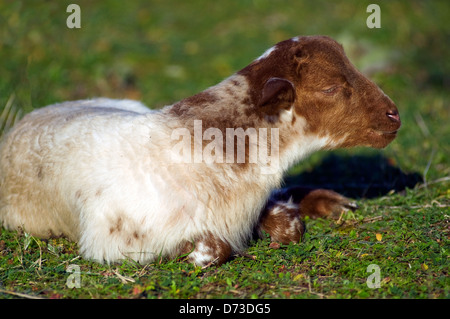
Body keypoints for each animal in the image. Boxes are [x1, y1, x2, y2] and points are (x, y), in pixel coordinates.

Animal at [0, 35, 400, 268]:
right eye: (330, 88)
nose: (394, 114)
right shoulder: (111, 242)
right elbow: (216, 248)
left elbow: (288, 225)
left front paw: (286, 216)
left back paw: (333, 203)